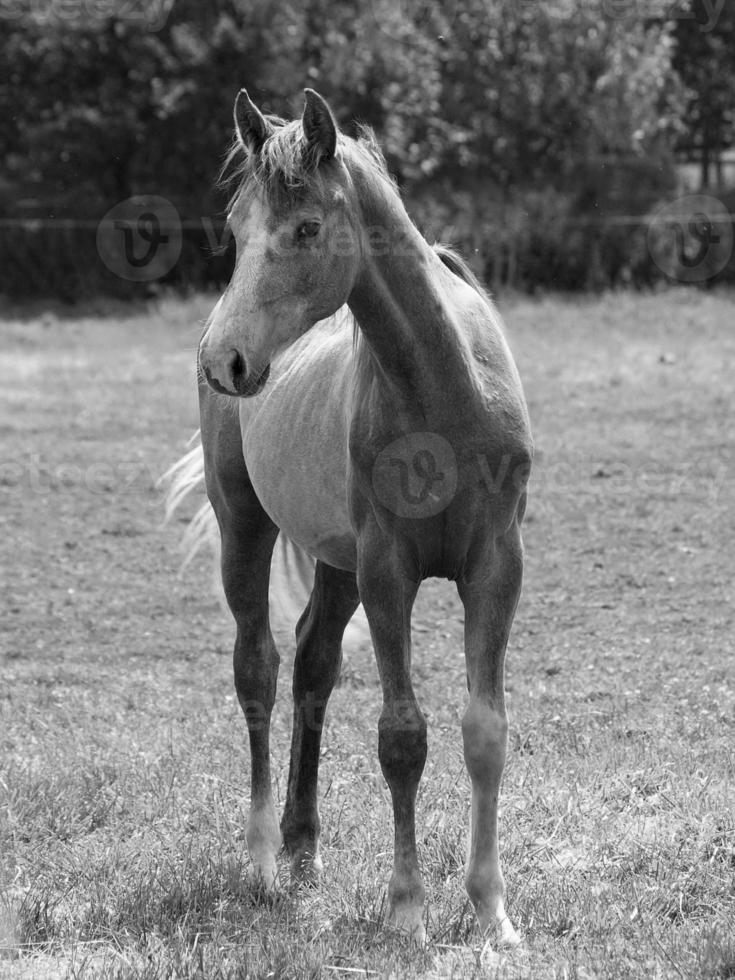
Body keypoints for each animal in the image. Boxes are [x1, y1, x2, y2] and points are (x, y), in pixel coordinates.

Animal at [180, 88, 532, 960]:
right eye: (235, 227)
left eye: (307, 228)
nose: (223, 360)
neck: (443, 390)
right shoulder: (388, 571)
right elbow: (401, 736)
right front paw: (405, 908)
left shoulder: (494, 566)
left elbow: (484, 730)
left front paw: (491, 910)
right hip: (247, 529)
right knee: (259, 671)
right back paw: (261, 860)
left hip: (335, 563)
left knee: (311, 666)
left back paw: (304, 848)